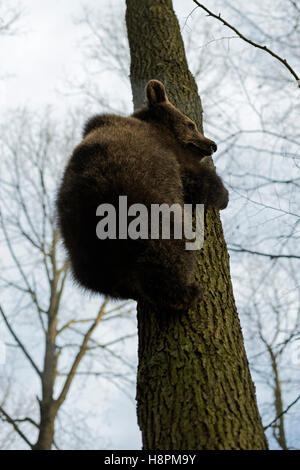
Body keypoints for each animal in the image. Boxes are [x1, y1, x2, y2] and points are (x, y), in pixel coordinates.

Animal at [56, 79, 229, 310]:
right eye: (190, 124)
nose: (212, 145)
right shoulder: (172, 157)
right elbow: (197, 179)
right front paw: (223, 195)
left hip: (80, 244)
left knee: (98, 278)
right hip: (143, 202)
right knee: (168, 245)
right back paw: (184, 292)